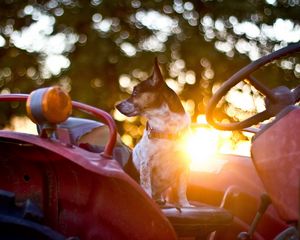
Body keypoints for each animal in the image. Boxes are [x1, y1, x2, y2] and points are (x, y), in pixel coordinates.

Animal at [116, 58, 191, 206]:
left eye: (135, 92)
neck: (166, 127)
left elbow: (182, 190)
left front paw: (186, 206)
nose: (117, 105)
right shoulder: (146, 164)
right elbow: (146, 187)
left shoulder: (183, 166)